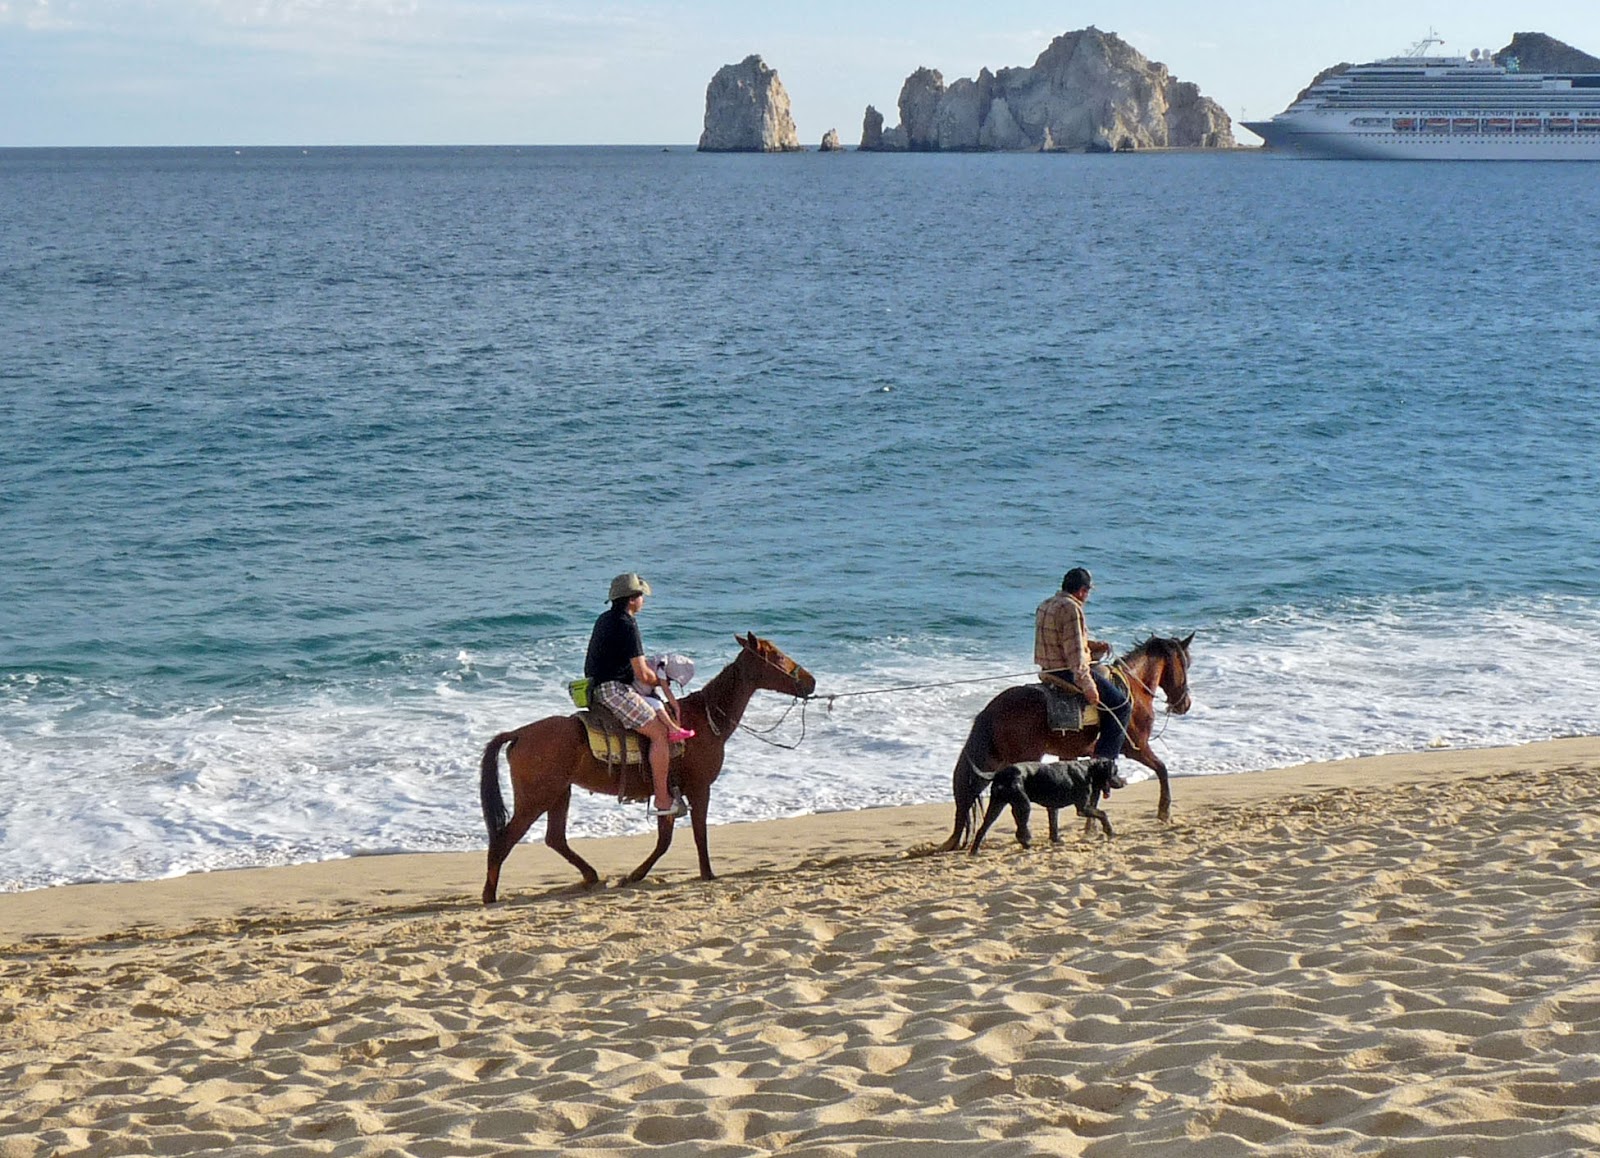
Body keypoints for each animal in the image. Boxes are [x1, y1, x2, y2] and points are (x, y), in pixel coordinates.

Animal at [478, 633, 816, 902]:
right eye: (777, 656)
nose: (811, 681)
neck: (705, 719)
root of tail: (520, 733)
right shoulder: (699, 789)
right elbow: (698, 834)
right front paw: (707, 874)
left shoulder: (667, 790)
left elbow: (664, 840)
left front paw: (634, 876)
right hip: (536, 798)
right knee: (504, 841)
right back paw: (490, 895)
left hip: (559, 793)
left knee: (554, 838)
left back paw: (590, 876)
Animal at [936, 634, 1194, 852]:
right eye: (1186, 664)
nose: (1185, 704)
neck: (1134, 687)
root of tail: (991, 710)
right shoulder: (1136, 747)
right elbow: (1161, 769)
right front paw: (1163, 812)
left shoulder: (1075, 756)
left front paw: (1081, 828)